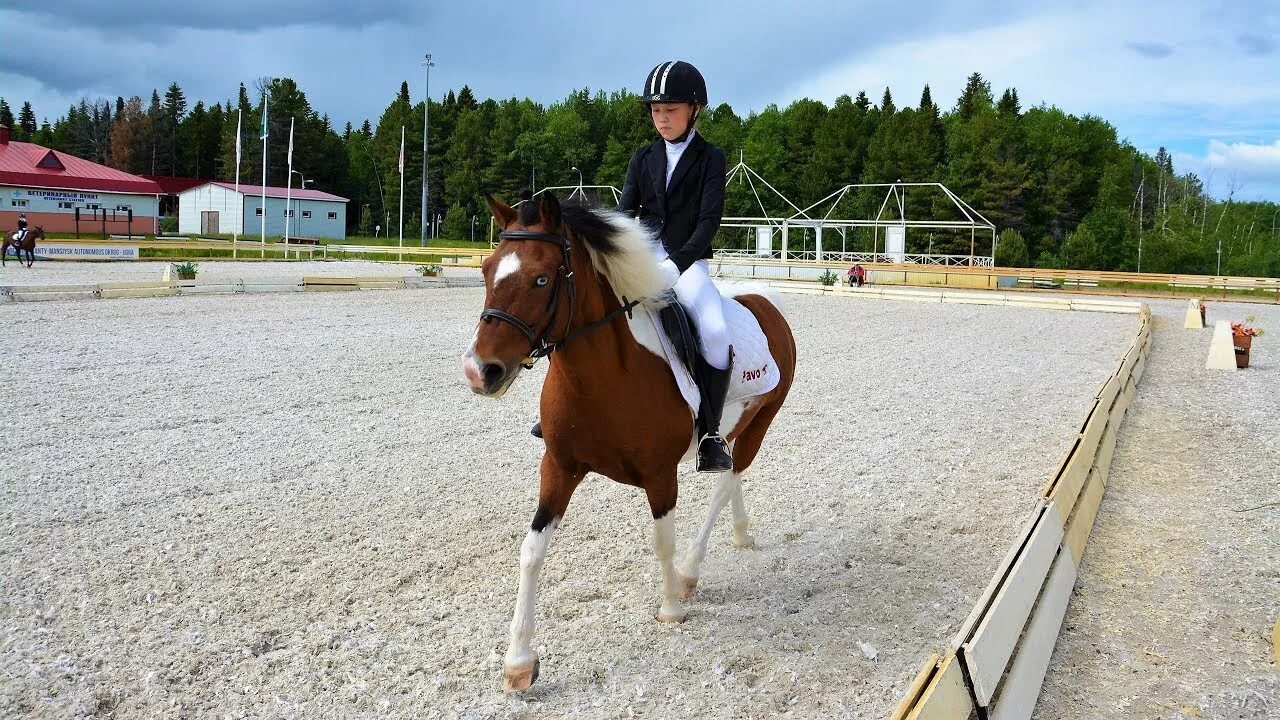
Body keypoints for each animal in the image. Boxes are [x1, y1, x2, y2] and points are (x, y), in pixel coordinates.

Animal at [463, 190, 788, 691]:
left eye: (541, 278)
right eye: (486, 271)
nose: (480, 370)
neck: (602, 376)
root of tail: (763, 302)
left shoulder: (660, 475)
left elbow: (663, 541)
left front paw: (671, 605)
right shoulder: (558, 466)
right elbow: (531, 552)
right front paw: (518, 661)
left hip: (762, 423)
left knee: (726, 478)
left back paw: (691, 571)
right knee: (731, 475)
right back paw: (740, 534)